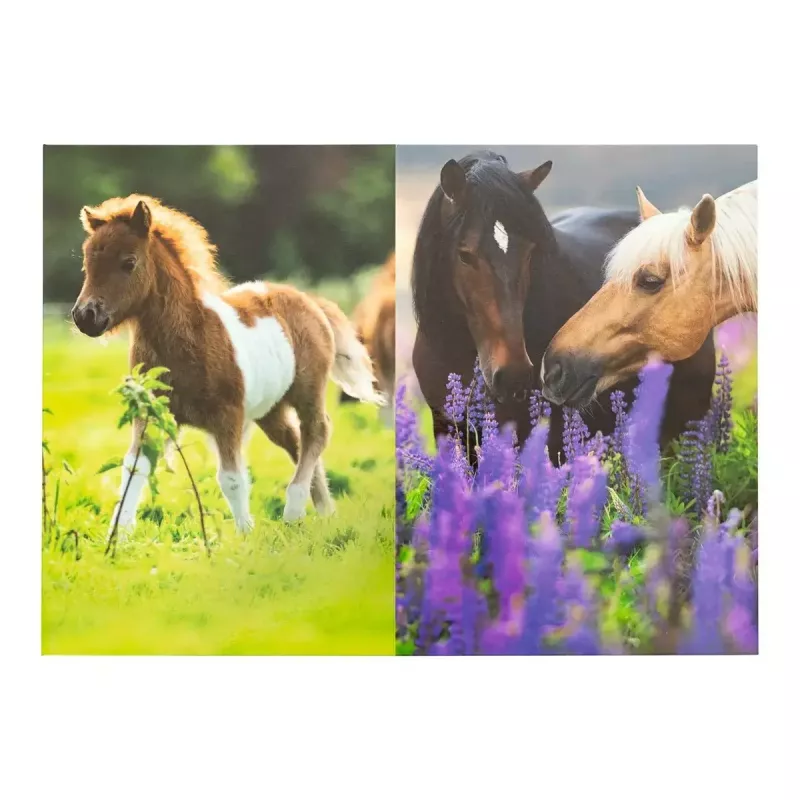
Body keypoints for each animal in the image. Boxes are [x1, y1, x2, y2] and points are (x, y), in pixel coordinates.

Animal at [72, 195, 384, 534]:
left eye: (128, 262)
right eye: (87, 263)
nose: (85, 316)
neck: (189, 337)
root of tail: (310, 300)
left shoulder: (227, 416)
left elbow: (232, 479)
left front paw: (245, 534)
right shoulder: (151, 411)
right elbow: (134, 467)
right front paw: (118, 534)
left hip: (308, 392)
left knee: (317, 432)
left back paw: (294, 509)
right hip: (271, 411)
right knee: (295, 441)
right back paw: (325, 512)